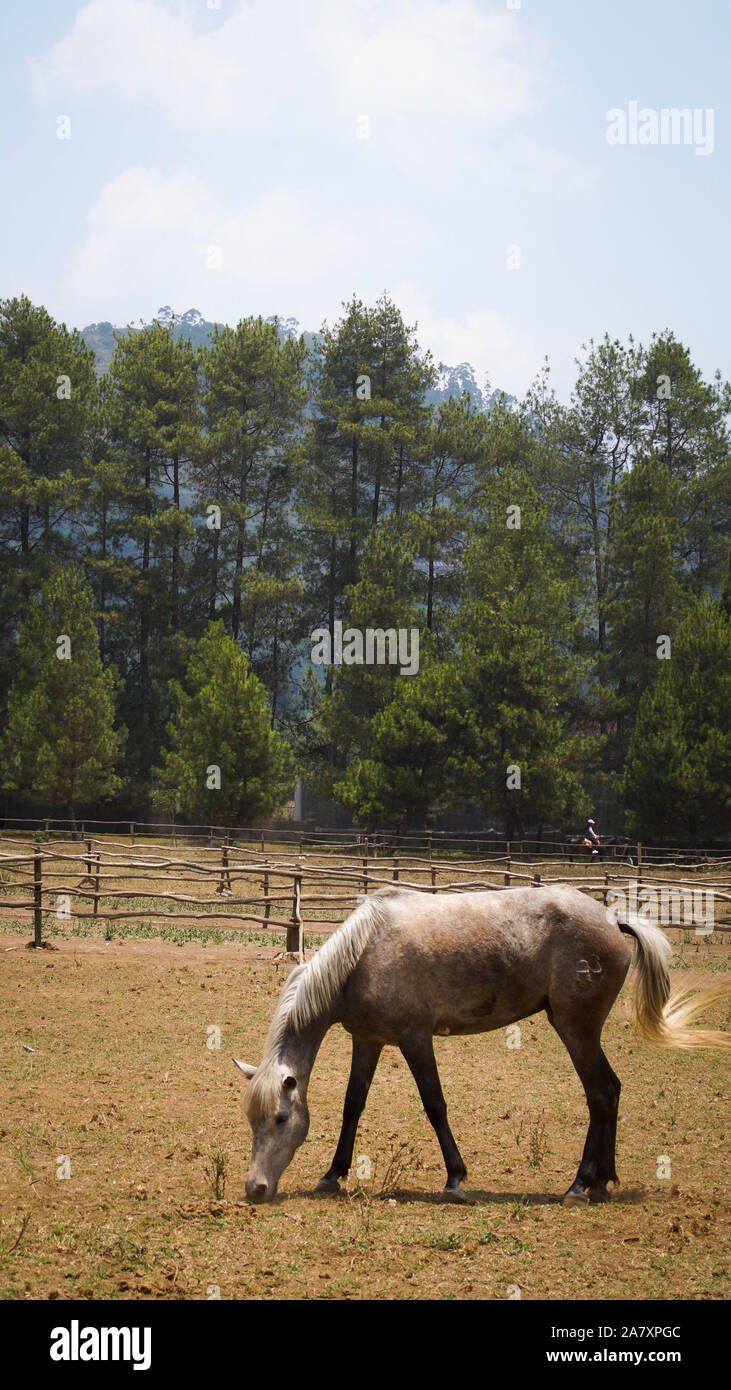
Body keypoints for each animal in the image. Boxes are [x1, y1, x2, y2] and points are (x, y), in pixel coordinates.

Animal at [233, 885, 729, 1205]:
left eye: (280, 1118)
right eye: (252, 1120)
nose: (255, 1189)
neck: (365, 953)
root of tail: (611, 917)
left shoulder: (415, 1039)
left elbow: (434, 1104)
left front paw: (455, 1179)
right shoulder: (368, 1041)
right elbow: (352, 1106)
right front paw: (333, 1174)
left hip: (576, 1029)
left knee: (601, 1093)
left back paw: (579, 1185)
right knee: (610, 1092)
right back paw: (601, 1182)